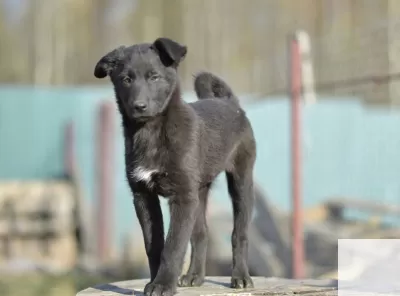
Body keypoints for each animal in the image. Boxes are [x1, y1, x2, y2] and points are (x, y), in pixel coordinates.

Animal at [94, 37, 256, 296]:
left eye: (154, 77)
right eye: (126, 79)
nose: (139, 106)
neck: (151, 133)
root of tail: (230, 102)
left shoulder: (182, 197)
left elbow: (173, 245)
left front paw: (162, 285)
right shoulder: (144, 196)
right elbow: (153, 244)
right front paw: (154, 281)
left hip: (241, 180)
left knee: (239, 234)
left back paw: (240, 277)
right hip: (199, 191)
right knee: (201, 233)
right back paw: (194, 276)